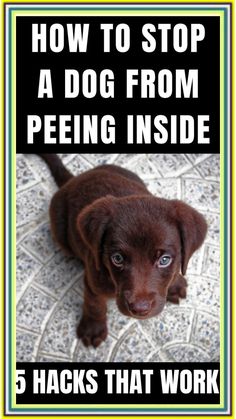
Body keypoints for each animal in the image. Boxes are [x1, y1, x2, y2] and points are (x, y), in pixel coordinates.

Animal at [37, 154, 207, 348]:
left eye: (164, 259)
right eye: (117, 258)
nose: (139, 309)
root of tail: (73, 179)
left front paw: (175, 283)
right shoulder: (93, 281)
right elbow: (94, 304)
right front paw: (93, 329)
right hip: (60, 232)